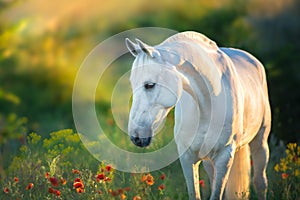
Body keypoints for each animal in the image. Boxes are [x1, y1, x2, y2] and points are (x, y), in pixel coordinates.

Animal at [125, 30, 270, 199]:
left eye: (149, 85)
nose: (136, 137)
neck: (206, 106)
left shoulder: (224, 156)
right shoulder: (187, 157)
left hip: (260, 142)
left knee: (260, 182)